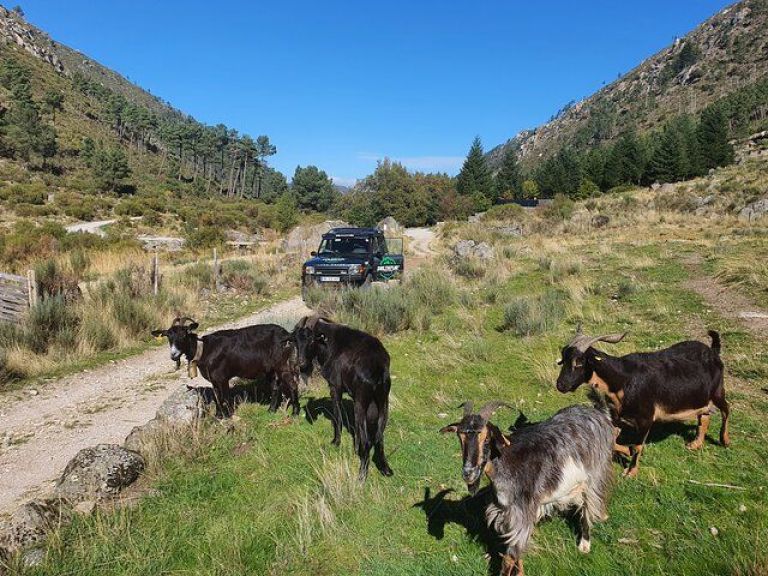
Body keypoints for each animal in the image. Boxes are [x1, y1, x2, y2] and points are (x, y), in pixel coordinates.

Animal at [151, 318, 300, 416]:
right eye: (168, 336)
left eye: (184, 334)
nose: (174, 355)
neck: (203, 350)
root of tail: (287, 334)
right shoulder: (214, 380)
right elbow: (217, 397)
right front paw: (218, 416)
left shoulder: (222, 377)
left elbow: (225, 397)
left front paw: (228, 415)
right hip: (271, 369)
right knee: (275, 387)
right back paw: (271, 410)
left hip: (282, 364)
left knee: (292, 385)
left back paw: (295, 412)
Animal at [290, 316, 392, 482]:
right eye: (296, 341)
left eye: (311, 341)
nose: (302, 365)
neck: (329, 343)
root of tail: (378, 368)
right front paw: (355, 448)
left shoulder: (335, 387)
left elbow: (337, 416)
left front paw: (336, 442)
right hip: (383, 402)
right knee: (379, 436)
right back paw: (385, 468)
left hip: (361, 403)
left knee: (368, 440)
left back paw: (362, 475)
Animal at [440, 400, 616, 576]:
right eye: (460, 437)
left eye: (487, 438)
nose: (468, 473)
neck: (506, 462)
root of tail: (597, 413)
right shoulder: (508, 514)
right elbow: (517, 553)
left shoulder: (521, 515)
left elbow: (509, 557)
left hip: (595, 476)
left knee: (590, 506)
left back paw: (585, 544)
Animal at [556, 326, 728, 480]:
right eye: (564, 359)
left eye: (579, 362)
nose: (561, 385)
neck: (622, 381)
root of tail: (713, 351)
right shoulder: (617, 416)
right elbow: (613, 440)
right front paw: (627, 451)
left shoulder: (646, 418)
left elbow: (638, 446)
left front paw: (630, 472)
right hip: (702, 397)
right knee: (704, 416)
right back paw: (695, 444)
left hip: (717, 390)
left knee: (726, 409)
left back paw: (724, 440)